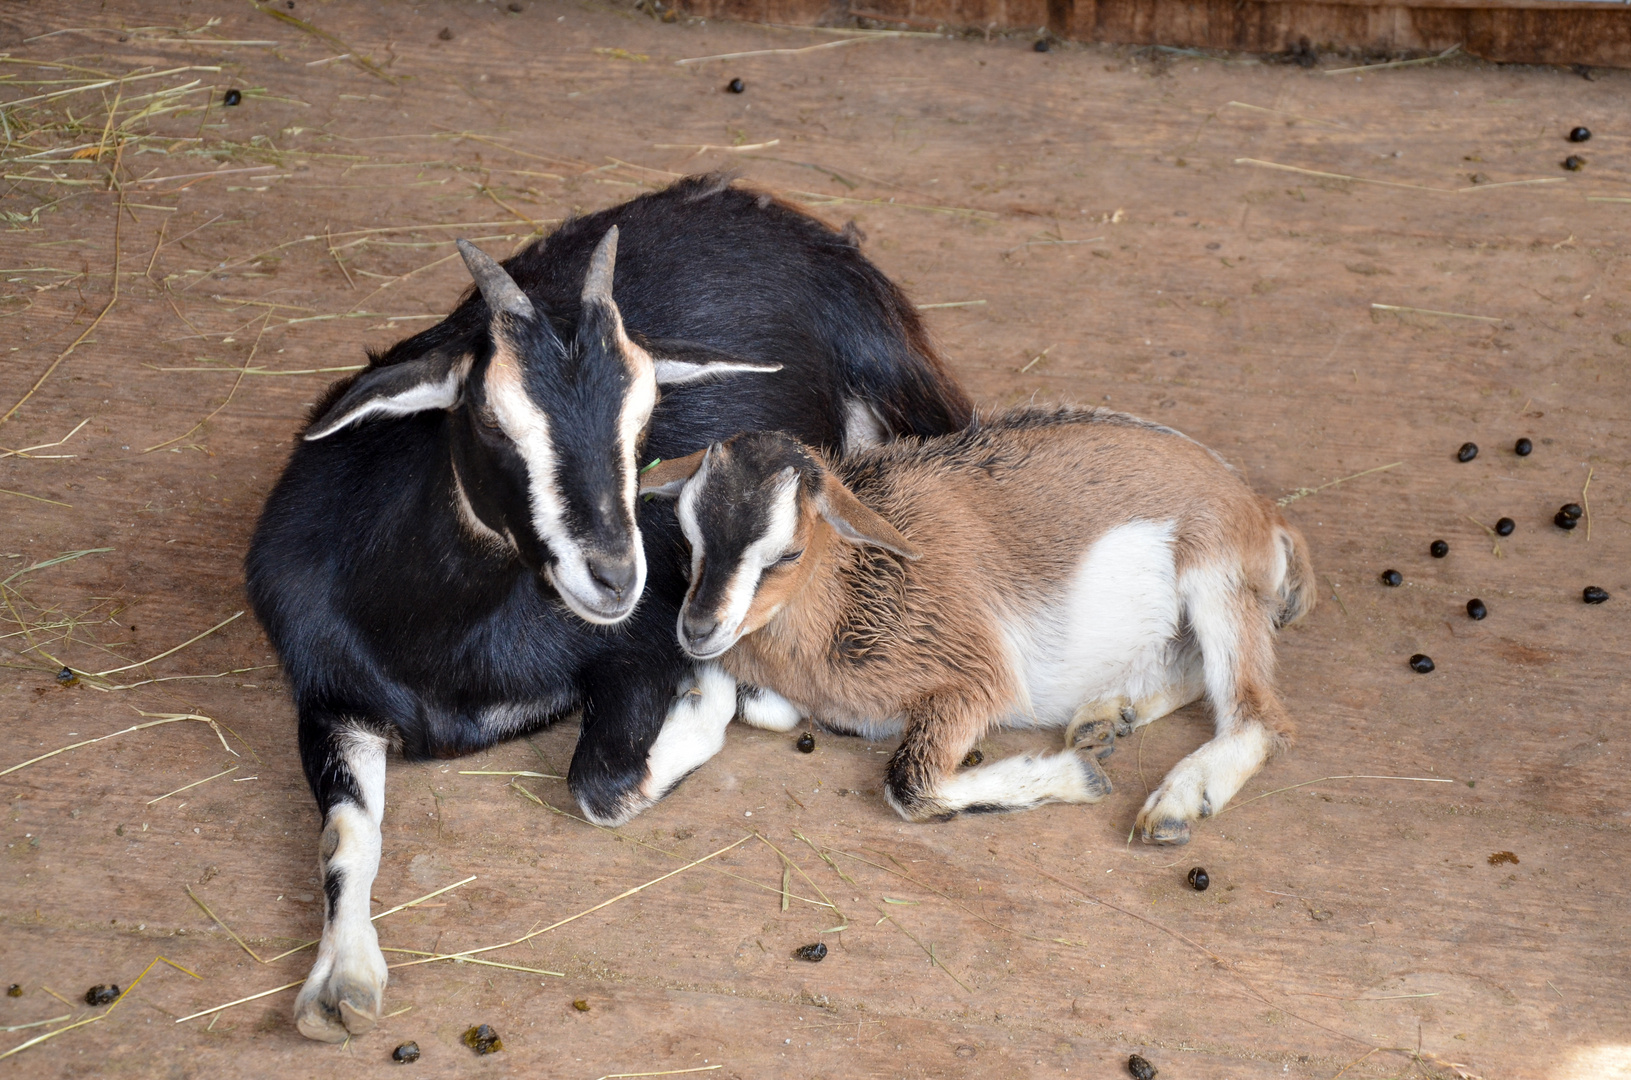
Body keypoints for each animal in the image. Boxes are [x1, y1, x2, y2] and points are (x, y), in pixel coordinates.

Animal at [244, 173, 965, 1044]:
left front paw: (712, 699)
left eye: (645, 413)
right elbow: (346, 833)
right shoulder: (329, 697)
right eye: (489, 416)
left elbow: (602, 783)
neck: (444, 646)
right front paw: (341, 980)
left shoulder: (641, 647)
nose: (616, 576)